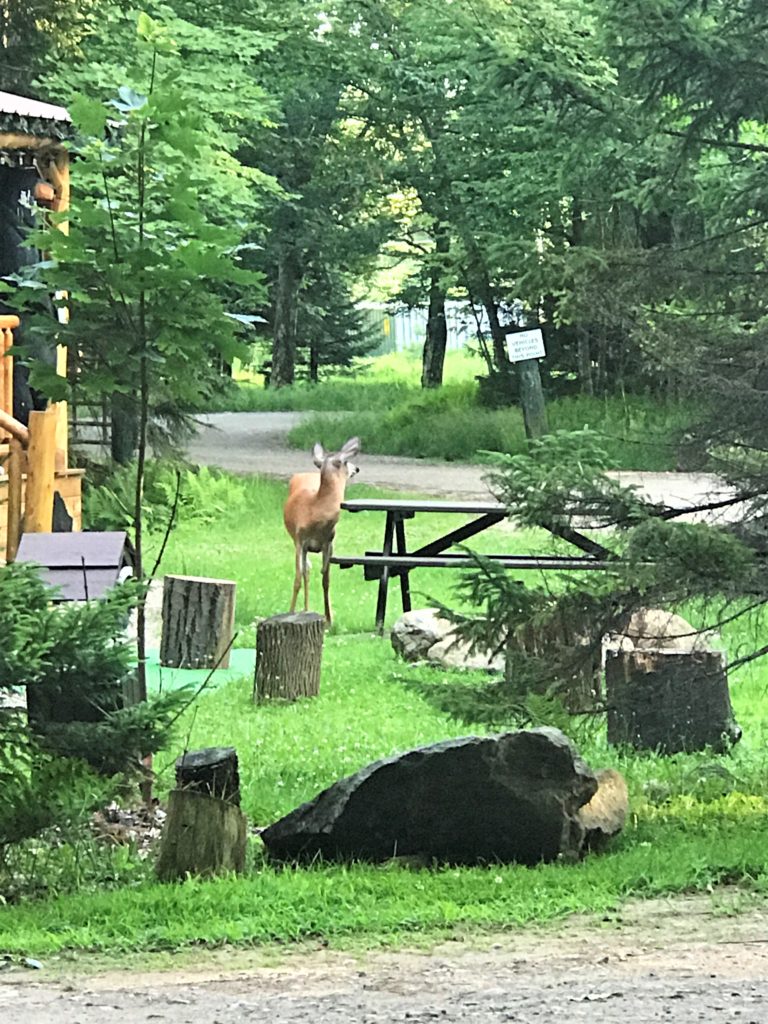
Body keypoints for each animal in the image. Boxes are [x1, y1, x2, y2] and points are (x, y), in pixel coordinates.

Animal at [284, 434, 362, 622]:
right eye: (345, 461)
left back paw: (307, 609)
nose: (356, 468)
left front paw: (329, 618)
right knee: (305, 572)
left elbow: (326, 579)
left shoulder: (329, 542)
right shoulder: (300, 540)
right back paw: (304, 609)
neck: (316, 509)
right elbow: (298, 578)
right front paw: (290, 612)